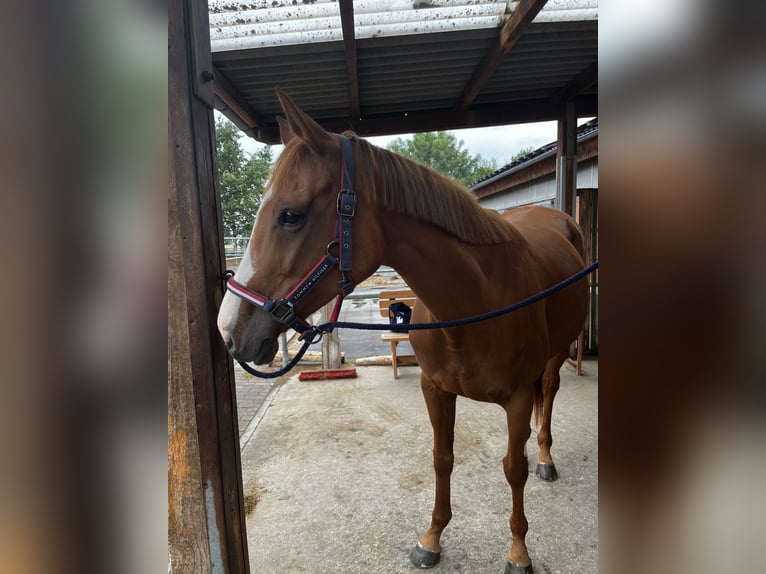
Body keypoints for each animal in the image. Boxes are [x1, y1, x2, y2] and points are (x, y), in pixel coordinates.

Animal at [217, 88, 589, 573]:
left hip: (554, 357)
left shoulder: (517, 399)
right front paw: (431, 538)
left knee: (548, 396)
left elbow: (514, 468)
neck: (475, 300)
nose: (229, 329)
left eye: (291, 215)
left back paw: (546, 457)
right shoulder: (435, 389)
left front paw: (518, 551)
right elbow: (442, 458)